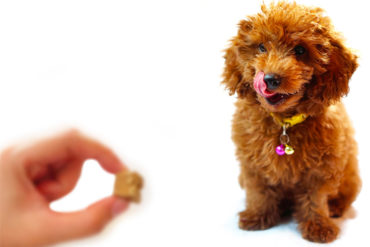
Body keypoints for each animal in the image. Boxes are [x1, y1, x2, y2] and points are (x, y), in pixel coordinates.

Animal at [223, 0, 362, 243]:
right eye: (261, 47)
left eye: (300, 50)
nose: (270, 79)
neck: (284, 123)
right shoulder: (252, 164)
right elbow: (258, 191)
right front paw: (257, 216)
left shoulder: (321, 168)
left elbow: (315, 198)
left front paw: (318, 227)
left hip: (350, 174)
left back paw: (335, 207)